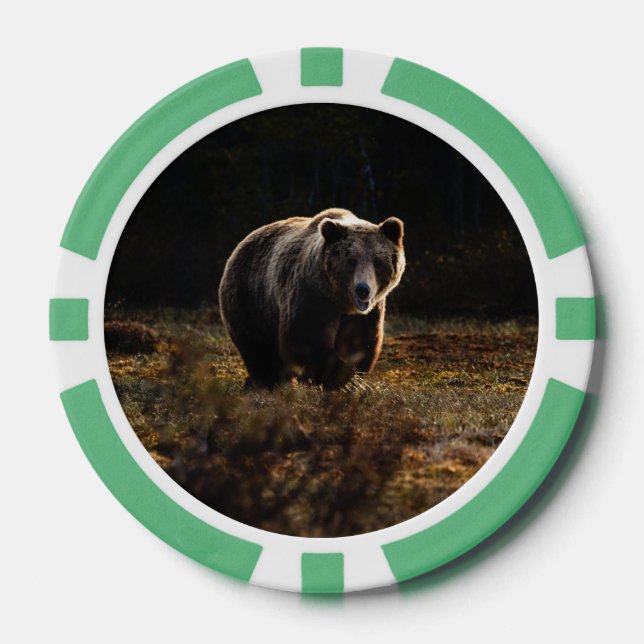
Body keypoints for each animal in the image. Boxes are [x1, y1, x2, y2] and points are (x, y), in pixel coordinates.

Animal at [218, 208, 405, 389]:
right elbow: (307, 339)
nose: (363, 290)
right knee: (258, 348)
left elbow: (359, 342)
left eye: (377, 261)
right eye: (351, 260)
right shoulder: (312, 295)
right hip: (250, 299)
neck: (341, 301)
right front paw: (345, 381)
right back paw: (268, 382)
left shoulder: (367, 313)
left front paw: (353, 378)